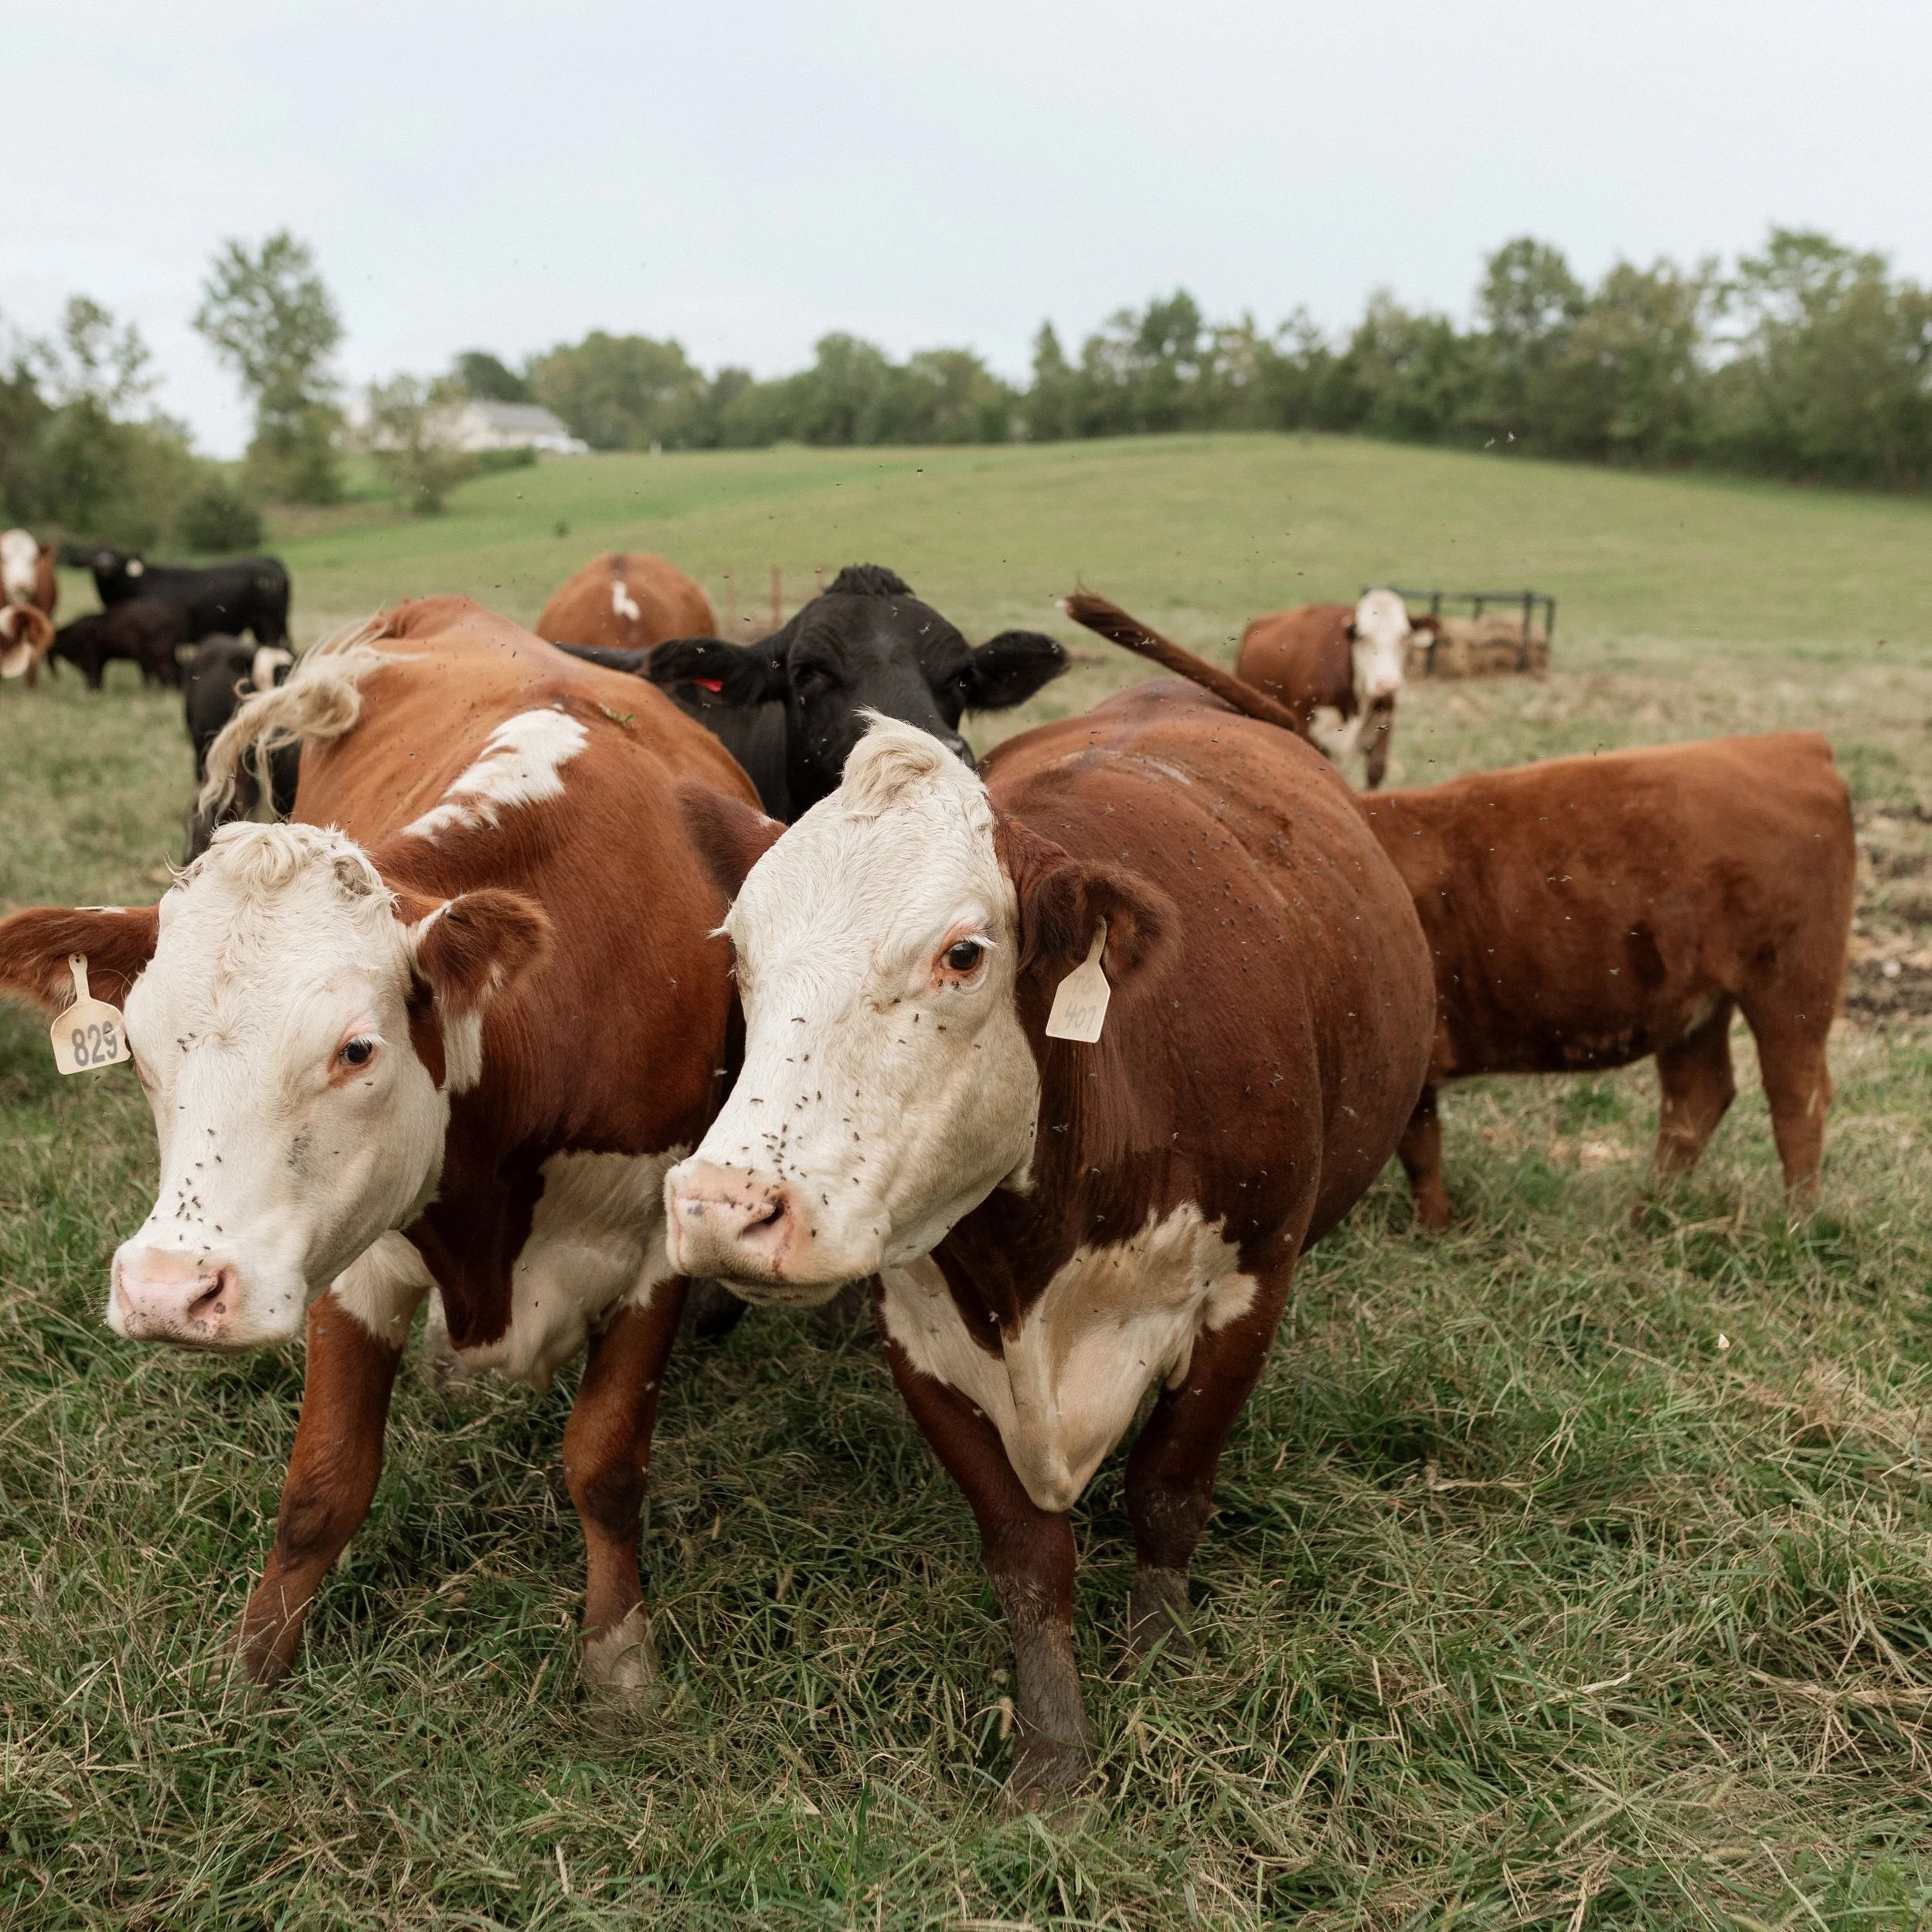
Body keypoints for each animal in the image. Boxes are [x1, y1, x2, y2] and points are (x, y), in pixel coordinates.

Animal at [1234, 590, 1441, 789]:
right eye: (1362, 637)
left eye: (1404, 637)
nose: (1387, 684)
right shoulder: (1308, 731)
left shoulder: (1383, 724)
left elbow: (1375, 770)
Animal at [1358, 734, 1855, 1229]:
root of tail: (1796, 744)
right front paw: (1434, 1227)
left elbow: (1419, 1150)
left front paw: (1433, 1229)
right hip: (1695, 1007)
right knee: (1697, 1098)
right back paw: (1645, 1216)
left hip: (1790, 991)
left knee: (1796, 1101)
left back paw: (1798, 1222)